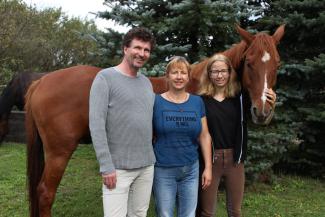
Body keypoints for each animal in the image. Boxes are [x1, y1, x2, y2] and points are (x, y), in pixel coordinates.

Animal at [25, 24, 284, 216]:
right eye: (249, 62)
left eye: (277, 63)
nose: (262, 111)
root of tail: (41, 81)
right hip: (59, 152)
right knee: (45, 193)